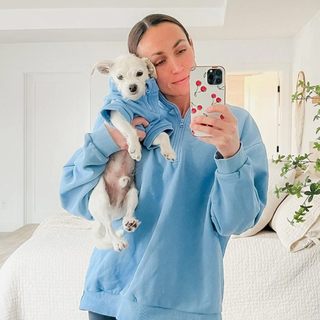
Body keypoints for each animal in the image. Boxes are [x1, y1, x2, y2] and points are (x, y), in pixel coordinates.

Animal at [89, 53, 176, 251]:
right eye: (119, 77)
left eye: (139, 73)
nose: (132, 87)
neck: (138, 103)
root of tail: (113, 211)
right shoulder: (117, 114)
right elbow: (130, 130)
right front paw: (134, 148)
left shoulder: (151, 127)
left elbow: (163, 136)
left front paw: (168, 151)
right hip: (101, 200)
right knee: (109, 228)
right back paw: (117, 241)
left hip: (132, 195)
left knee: (127, 214)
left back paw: (130, 223)